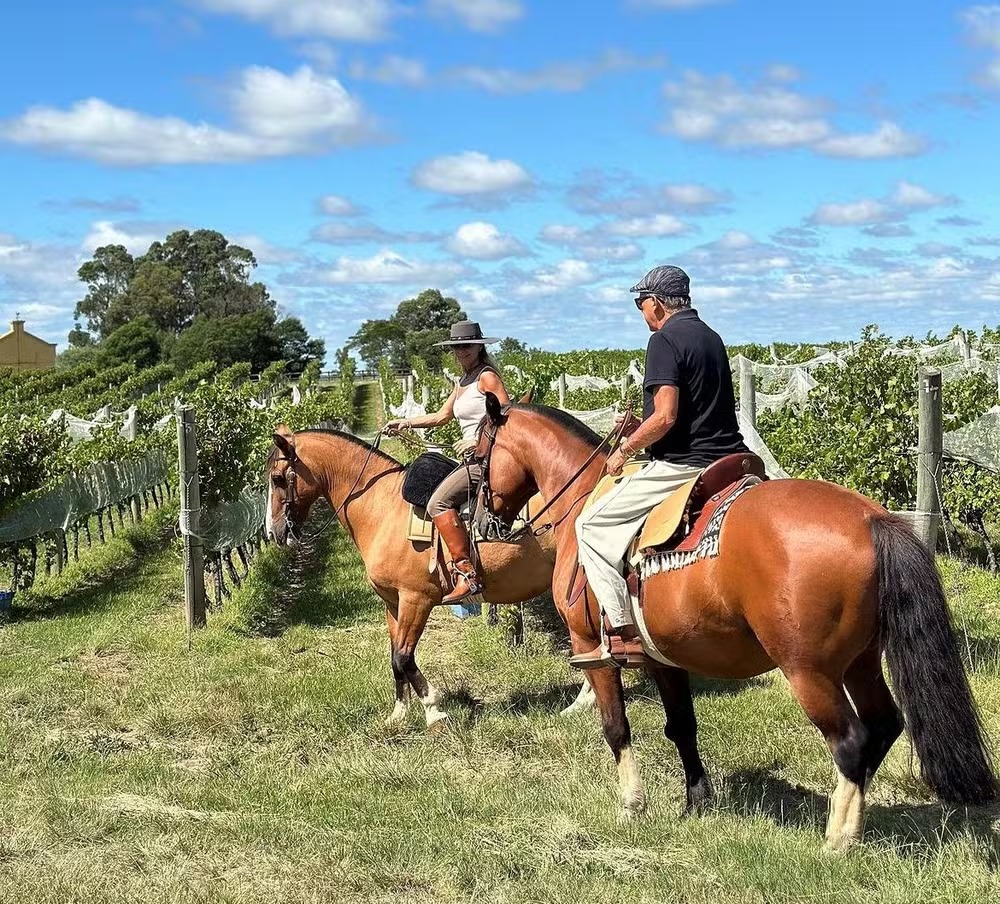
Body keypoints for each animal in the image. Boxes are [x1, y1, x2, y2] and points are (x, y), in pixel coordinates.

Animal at [264, 428, 592, 732]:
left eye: (278, 478)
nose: (273, 532)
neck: (382, 507)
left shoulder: (416, 600)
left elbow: (403, 657)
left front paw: (434, 711)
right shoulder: (393, 603)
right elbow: (394, 658)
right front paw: (398, 714)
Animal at [472, 398, 996, 856]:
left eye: (476, 458)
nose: (481, 520)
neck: (583, 502)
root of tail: (872, 519)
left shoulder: (593, 650)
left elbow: (616, 728)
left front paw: (632, 805)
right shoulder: (665, 659)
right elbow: (682, 726)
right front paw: (696, 800)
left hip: (809, 673)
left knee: (851, 741)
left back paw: (838, 838)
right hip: (860, 663)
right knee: (884, 725)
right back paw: (854, 820)